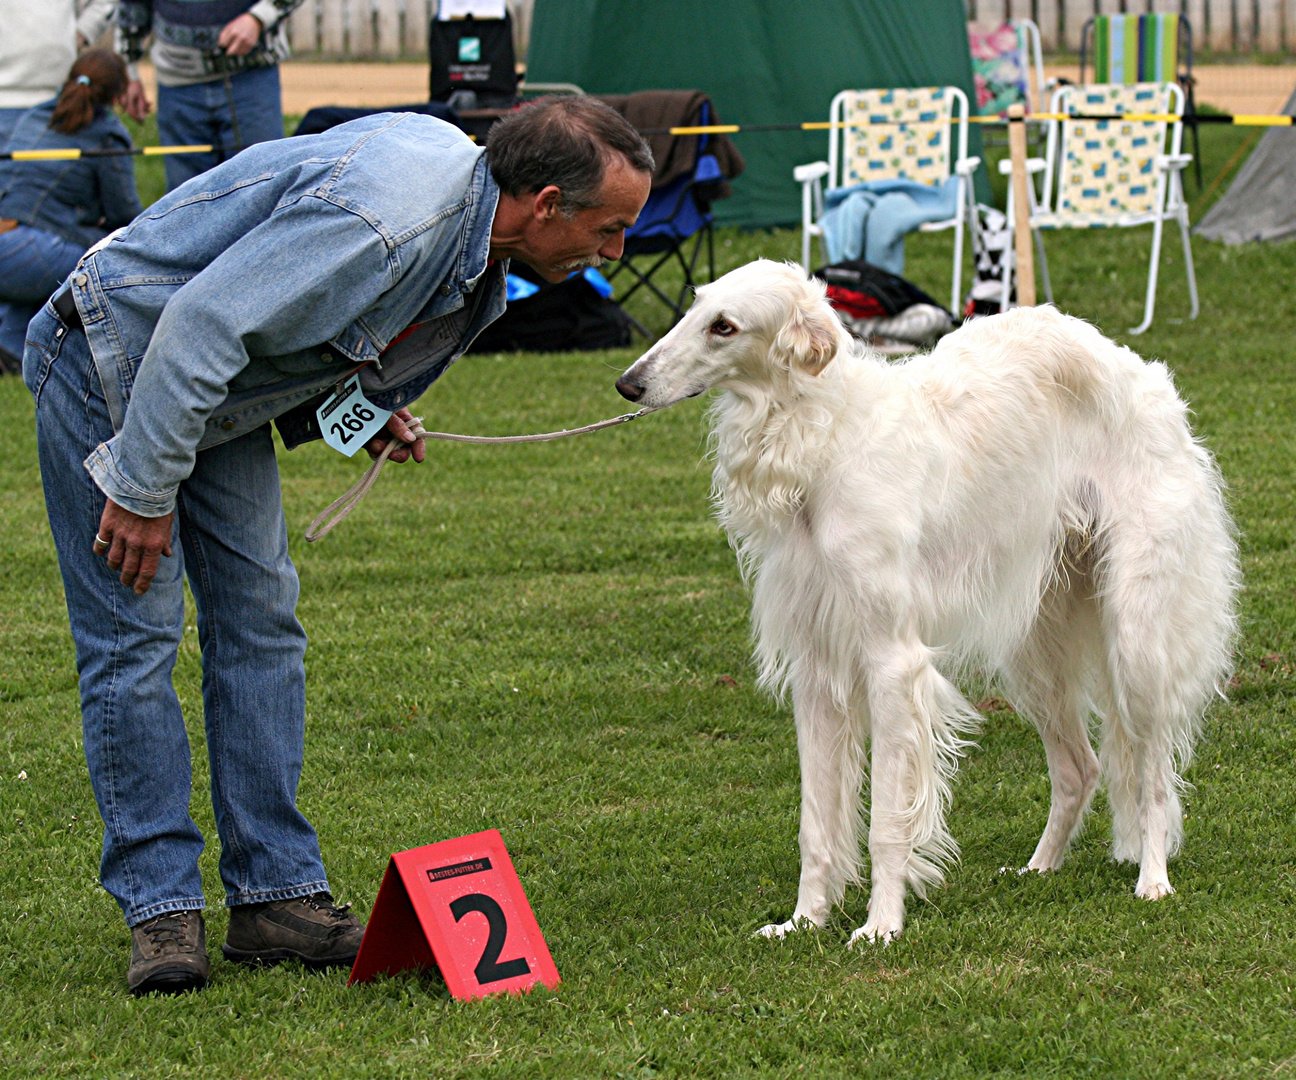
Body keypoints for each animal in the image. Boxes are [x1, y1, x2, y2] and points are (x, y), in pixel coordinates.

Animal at [611, 261, 1238, 943]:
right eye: (691, 307)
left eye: (724, 326)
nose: (627, 384)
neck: (826, 446)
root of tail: (1144, 375)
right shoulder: (817, 666)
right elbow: (816, 824)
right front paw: (804, 921)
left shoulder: (892, 660)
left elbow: (887, 819)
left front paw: (880, 926)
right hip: (1035, 648)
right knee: (1082, 768)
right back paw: (1038, 867)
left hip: (1136, 634)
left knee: (1152, 775)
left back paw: (1152, 879)